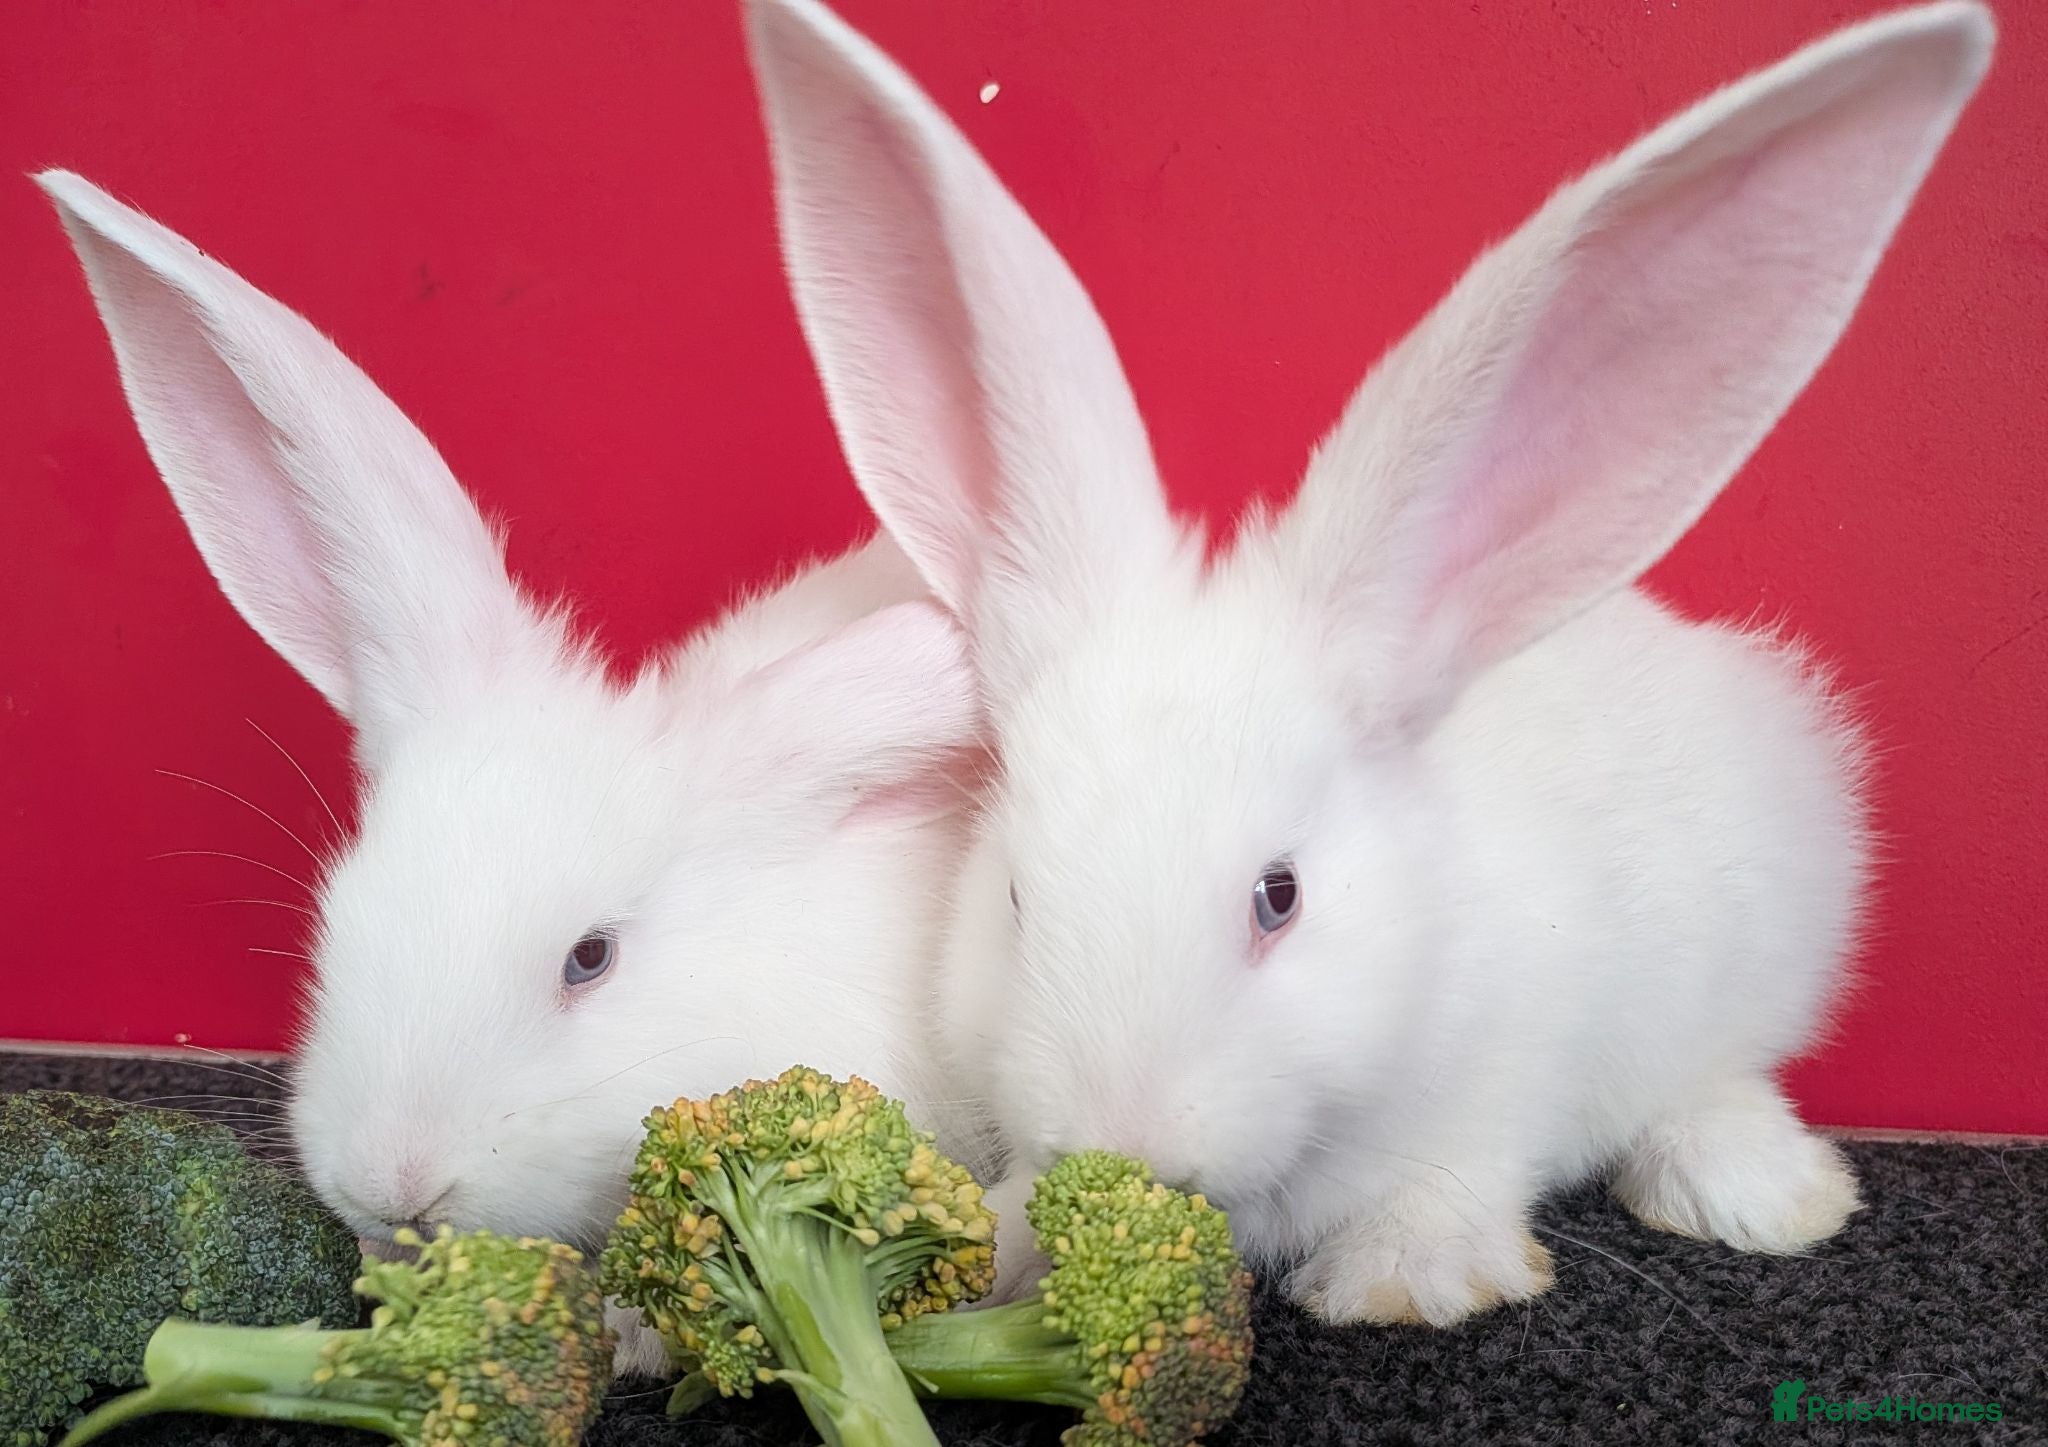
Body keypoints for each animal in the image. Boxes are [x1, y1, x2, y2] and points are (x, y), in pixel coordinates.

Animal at [742, 0, 1993, 1326]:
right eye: (1019, 898)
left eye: (1278, 897)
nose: (1130, 1146)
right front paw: (1012, 1255)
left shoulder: (1506, 1078)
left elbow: (1465, 1175)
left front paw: (1406, 1280)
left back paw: (1760, 1195)